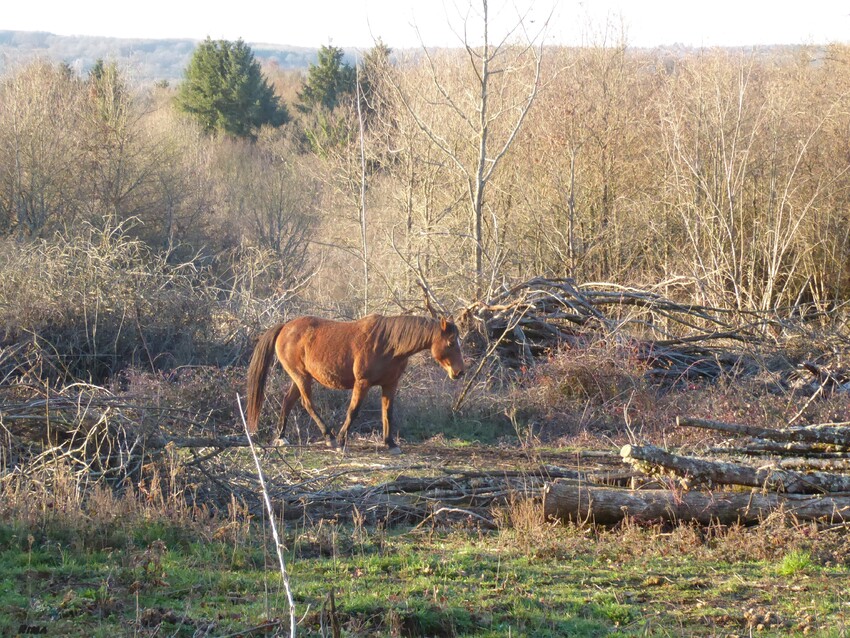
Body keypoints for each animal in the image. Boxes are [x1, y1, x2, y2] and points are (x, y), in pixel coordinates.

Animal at [245, 316, 464, 456]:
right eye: (451, 343)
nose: (460, 372)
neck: (389, 344)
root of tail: (285, 327)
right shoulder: (362, 383)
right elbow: (353, 411)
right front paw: (342, 441)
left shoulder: (390, 384)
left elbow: (387, 413)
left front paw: (390, 443)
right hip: (301, 378)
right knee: (307, 404)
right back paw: (330, 437)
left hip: (300, 378)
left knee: (288, 402)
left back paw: (281, 437)